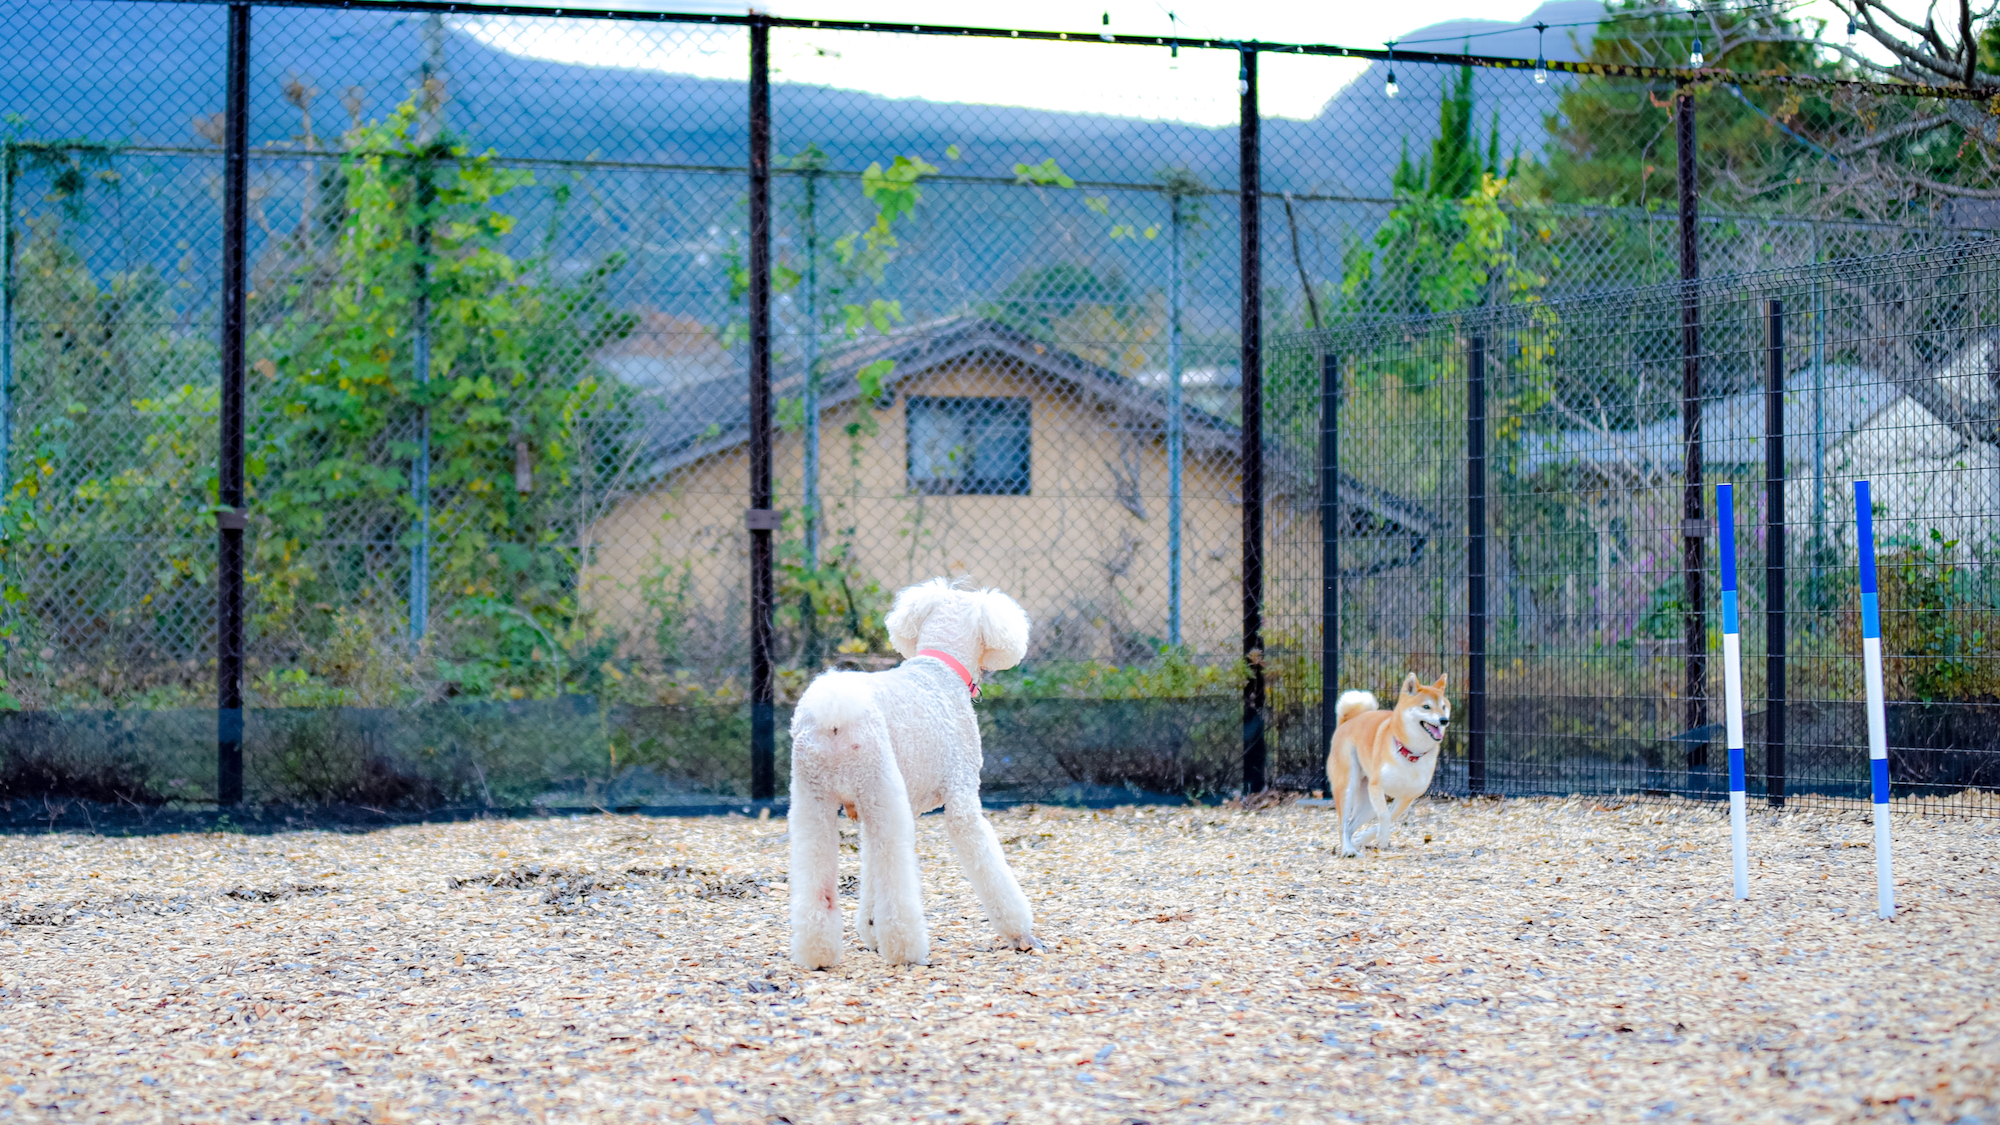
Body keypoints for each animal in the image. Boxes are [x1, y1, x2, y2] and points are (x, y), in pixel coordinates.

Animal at [1328, 668, 1456, 852]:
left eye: (1443, 707)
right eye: (1426, 707)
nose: (1444, 720)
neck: (1411, 753)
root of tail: (1347, 721)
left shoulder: (1407, 796)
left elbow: (1390, 816)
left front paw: (1367, 837)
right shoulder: (1376, 787)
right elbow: (1384, 815)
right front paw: (1382, 837)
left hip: (1367, 805)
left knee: (1351, 826)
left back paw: (1356, 843)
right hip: (1347, 787)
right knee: (1343, 825)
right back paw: (1348, 850)